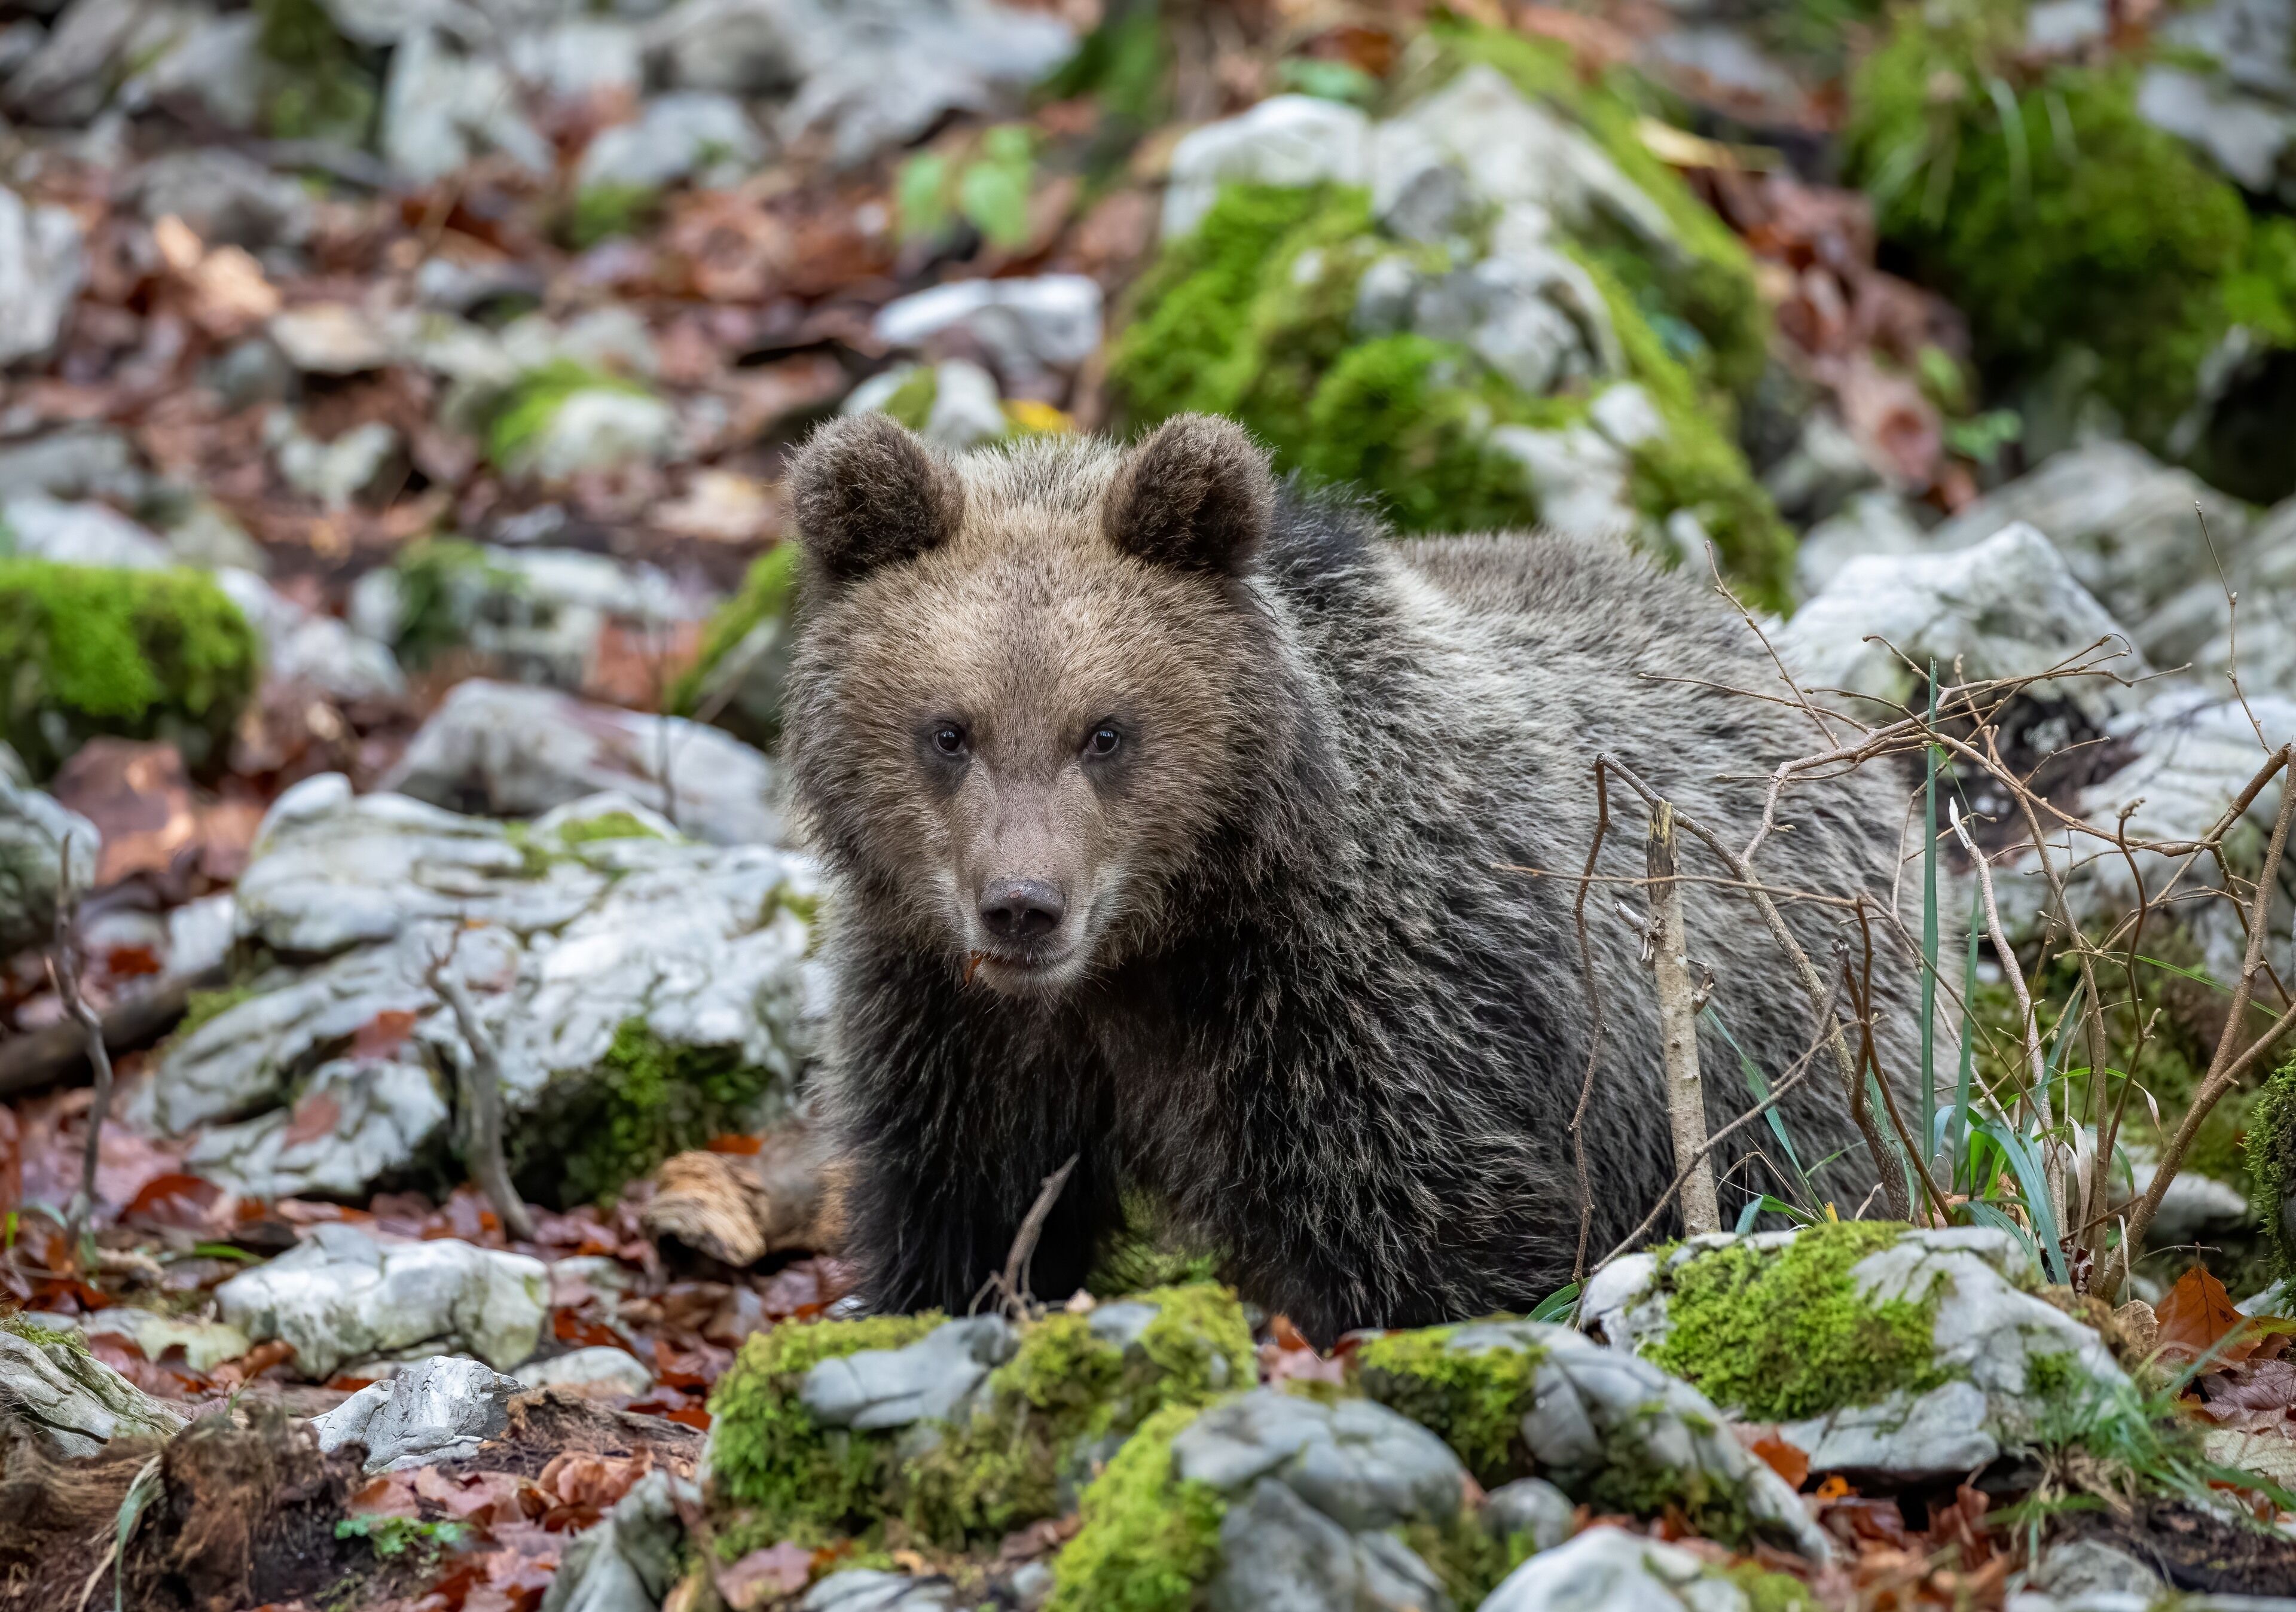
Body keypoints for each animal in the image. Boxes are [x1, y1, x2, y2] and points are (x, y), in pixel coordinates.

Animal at [783, 409, 1932, 1344]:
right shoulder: (954, 1021)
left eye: (1105, 731)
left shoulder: (1369, 1010)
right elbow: (958, 1209)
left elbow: (1432, 1236)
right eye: (949, 731)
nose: (1023, 907)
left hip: (1787, 1058)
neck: (1154, 945)